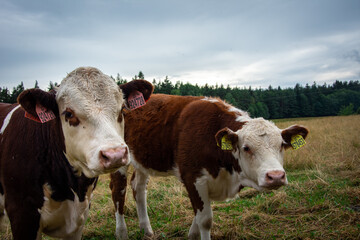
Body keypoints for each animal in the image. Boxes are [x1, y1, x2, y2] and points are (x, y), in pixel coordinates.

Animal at [108, 93, 308, 238]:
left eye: (281, 145)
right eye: (246, 147)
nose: (276, 176)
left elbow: (198, 217)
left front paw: (191, 235)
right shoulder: (193, 178)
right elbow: (205, 220)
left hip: (142, 160)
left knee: (139, 188)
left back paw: (147, 230)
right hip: (120, 159)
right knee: (119, 192)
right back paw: (121, 232)